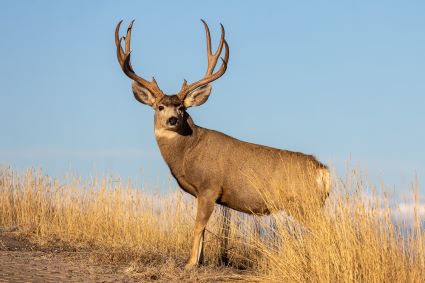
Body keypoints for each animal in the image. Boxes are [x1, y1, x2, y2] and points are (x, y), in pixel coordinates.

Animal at [114, 18, 330, 270]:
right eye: (160, 106)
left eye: (182, 107)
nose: (173, 120)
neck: (188, 152)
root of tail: (323, 171)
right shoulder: (201, 194)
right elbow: (205, 229)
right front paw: (200, 260)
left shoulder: (210, 187)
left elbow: (198, 226)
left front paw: (189, 264)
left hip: (305, 204)